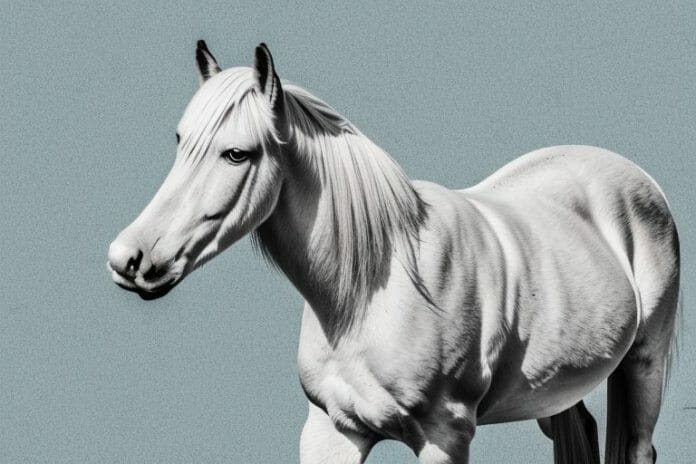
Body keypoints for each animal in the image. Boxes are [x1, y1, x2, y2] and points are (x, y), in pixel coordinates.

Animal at [107, 41, 680, 464]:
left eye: (236, 153)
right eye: (180, 141)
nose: (127, 259)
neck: (371, 293)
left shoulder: (445, 436)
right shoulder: (331, 431)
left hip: (643, 364)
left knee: (639, 448)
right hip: (555, 386)